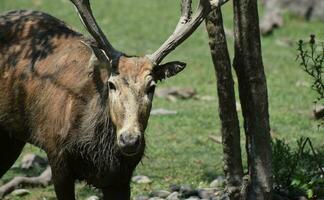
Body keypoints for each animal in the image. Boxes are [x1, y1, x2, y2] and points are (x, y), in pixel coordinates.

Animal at [0, 0, 227, 198]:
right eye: (111, 84)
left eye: (151, 86)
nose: (130, 140)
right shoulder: (57, 155)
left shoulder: (121, 177)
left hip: (13, 137)